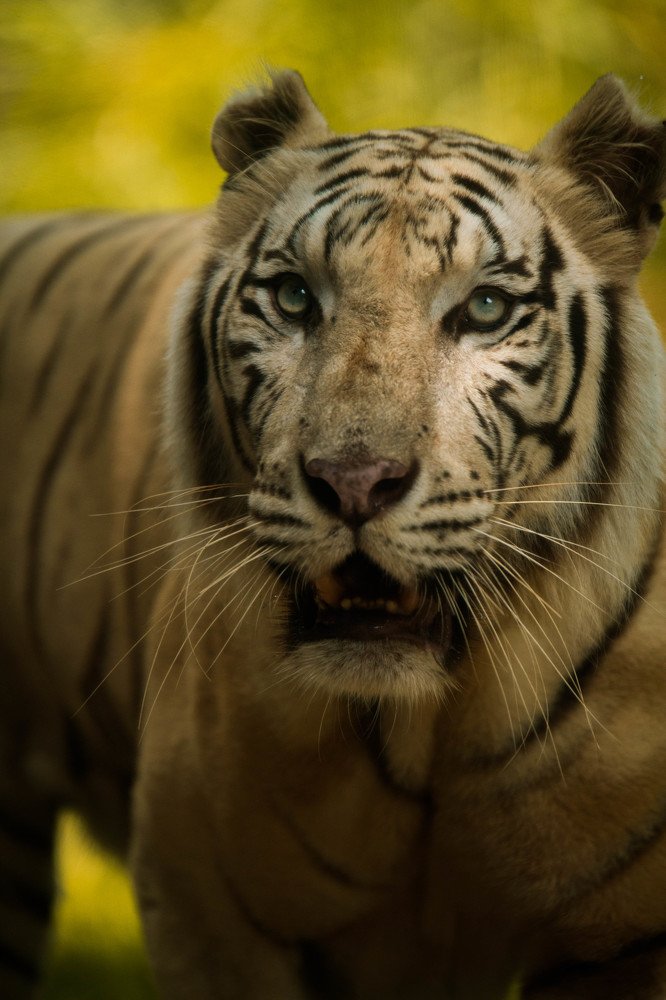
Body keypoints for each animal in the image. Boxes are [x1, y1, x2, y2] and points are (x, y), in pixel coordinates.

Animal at [0, 67, 664, 1000]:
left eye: (485, 308)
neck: (427, 730)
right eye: (293, 299)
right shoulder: (210, 906)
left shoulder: (621, 941)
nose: (355, 482)